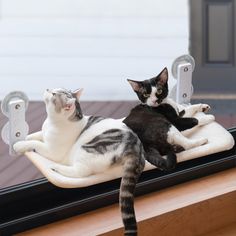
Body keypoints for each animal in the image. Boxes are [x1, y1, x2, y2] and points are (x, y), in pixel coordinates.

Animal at [13, 87, 146, 235]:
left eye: (53, 94)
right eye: (54, 89)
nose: (47, 88)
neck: (52, 123)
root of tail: (136, 148)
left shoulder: (52, 151)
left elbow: (35, 143)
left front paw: (19, 145)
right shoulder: (43, 133)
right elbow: (36, 135)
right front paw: (25, 138)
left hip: (86, 149)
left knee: (80, 171)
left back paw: (56, 168)